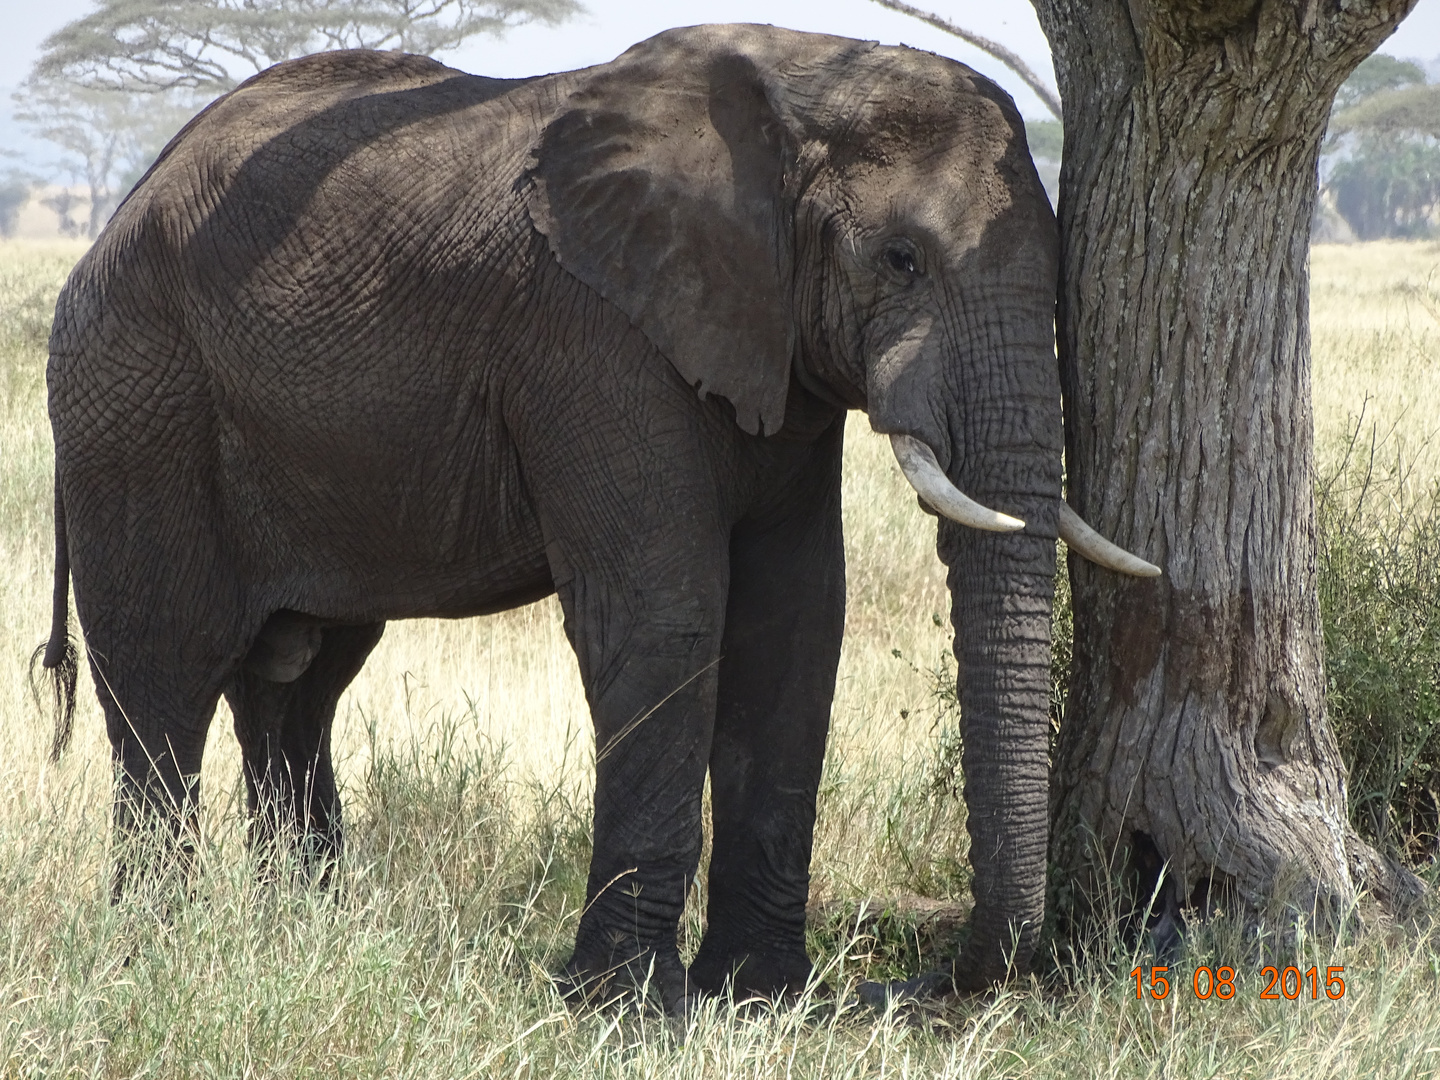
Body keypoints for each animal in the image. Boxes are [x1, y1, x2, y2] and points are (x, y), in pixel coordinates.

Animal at [33, 19, 1157, 1013]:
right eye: (901, 261)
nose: (919, 984)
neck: (796, 86)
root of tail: (119, 213)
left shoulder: (773, 350)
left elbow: (795, 618)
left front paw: (761, 998)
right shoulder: (592, 336)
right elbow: (666, 613)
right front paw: (629, 1008)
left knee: (297, 685)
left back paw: (297, 936)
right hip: (135, 405)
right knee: (164, 676)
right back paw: (161, 951)